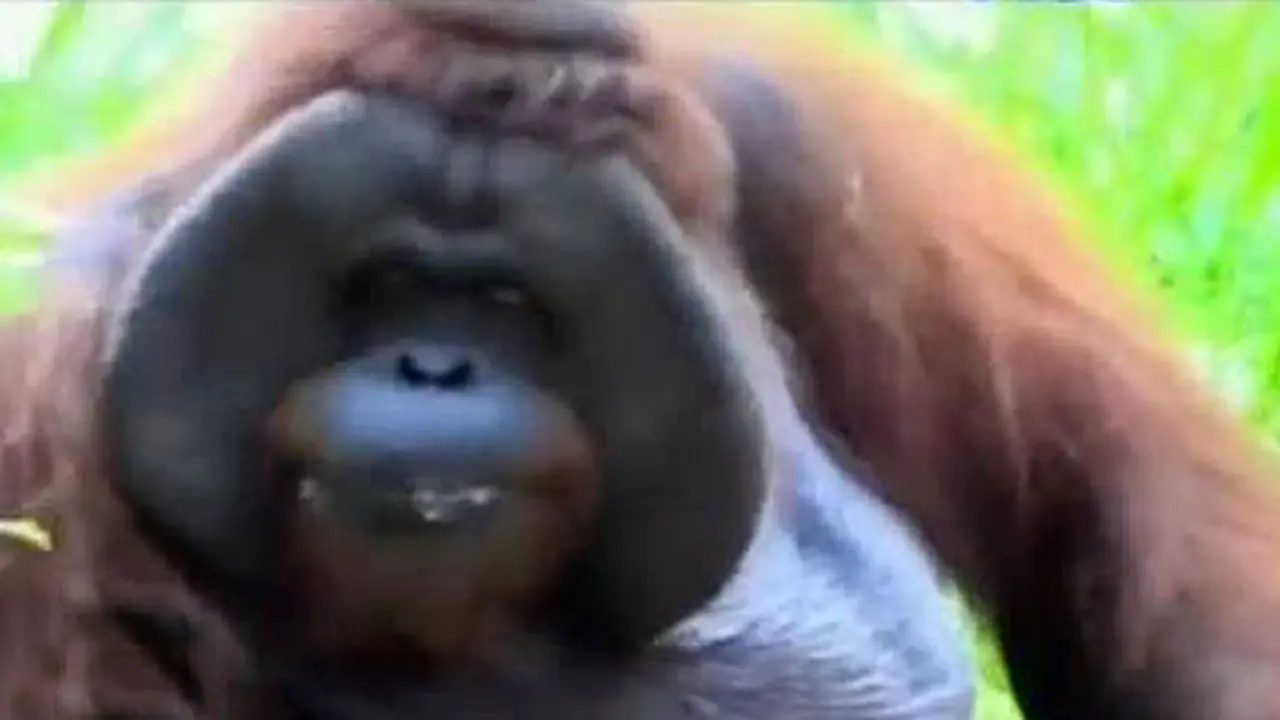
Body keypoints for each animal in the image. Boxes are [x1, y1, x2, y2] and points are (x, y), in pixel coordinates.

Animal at [6, 1, 1280, 718]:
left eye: (505, 301)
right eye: (390, 283)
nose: (433, 369)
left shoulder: (796, 123)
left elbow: (1154, 555)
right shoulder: (39, 386)